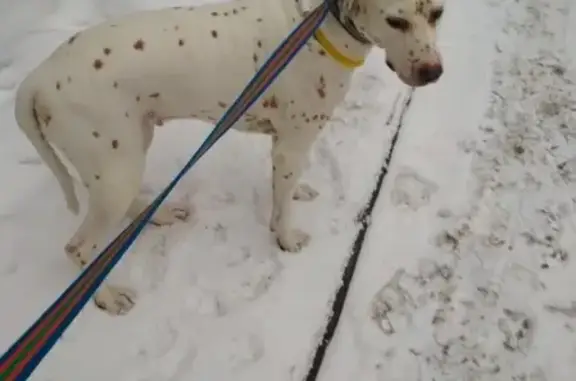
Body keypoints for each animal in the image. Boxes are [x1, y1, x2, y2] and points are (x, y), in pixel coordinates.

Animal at [13, 0, 446, 314]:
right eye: (396, 21)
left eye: (437, 13)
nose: (434, 72)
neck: (322, 25)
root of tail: (36, 80)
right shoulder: (291, 143)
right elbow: (281, 209)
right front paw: (286, 239)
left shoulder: (290, 147)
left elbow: (287, 188)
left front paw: (297, 192)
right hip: (116, 167)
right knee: (78, 248)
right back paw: (106, 298)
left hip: (127, 153)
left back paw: (161, 214)